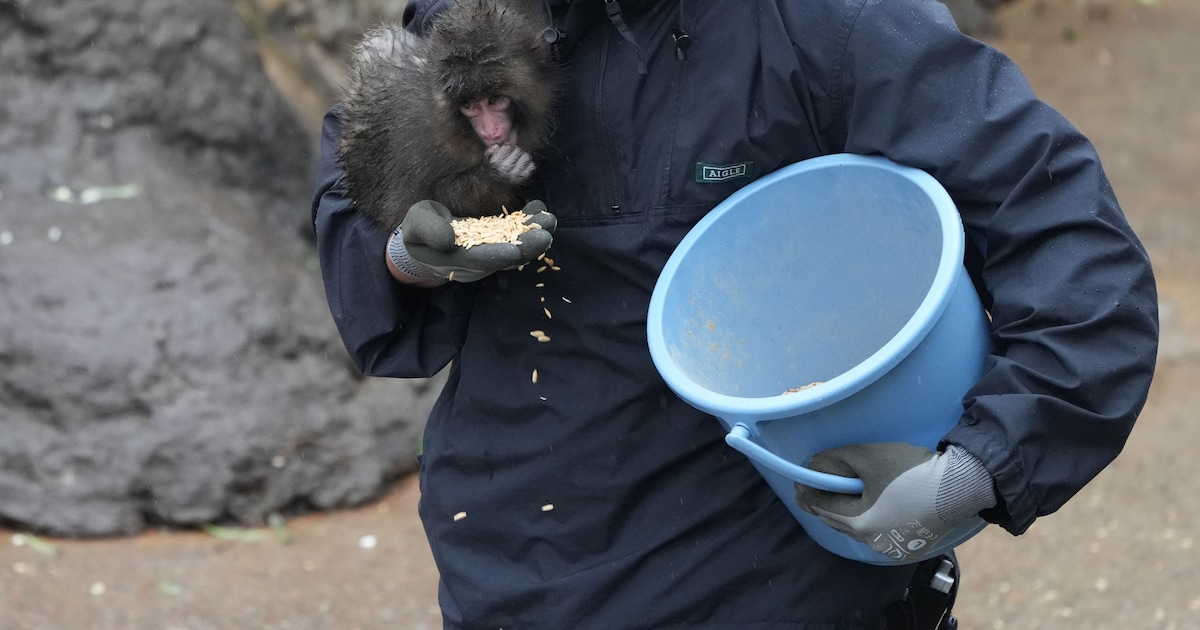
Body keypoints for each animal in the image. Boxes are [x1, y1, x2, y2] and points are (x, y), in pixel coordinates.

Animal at [337, 0, 560, 231]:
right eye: (469, 105)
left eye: (495, 99)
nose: (490, 131)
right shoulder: (415, 142)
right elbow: (408, 205)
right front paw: (498, 174)